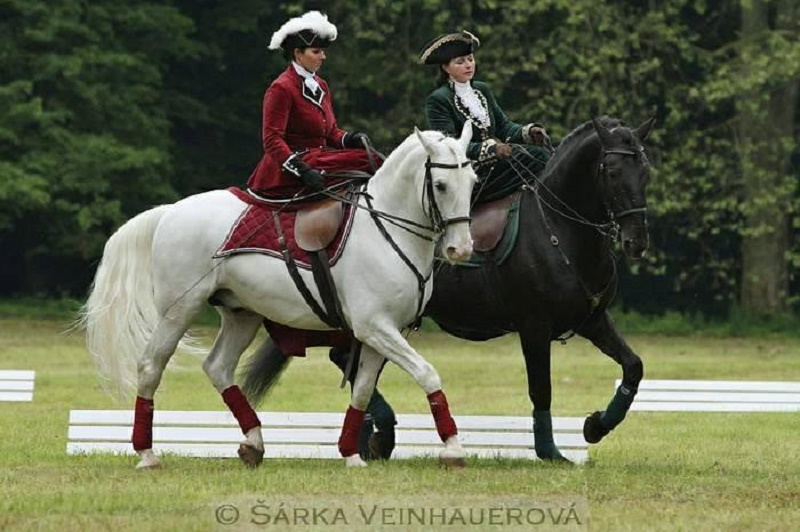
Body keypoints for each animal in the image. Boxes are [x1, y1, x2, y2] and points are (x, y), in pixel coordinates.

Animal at [81, 122, 478, 469]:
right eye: (440, 185)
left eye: (473, 181)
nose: (461, 249)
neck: (387, 228)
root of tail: (170, 211)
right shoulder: (374, 326)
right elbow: (428, 375)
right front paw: (453, 449)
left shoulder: (383, 332)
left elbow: (363, 391)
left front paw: (351, 454)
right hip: (179, 310)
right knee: (151, 367)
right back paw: (147, 454)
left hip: (241, 313)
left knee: (218, 367)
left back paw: (254, 443)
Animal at [241, 116, 655, 461]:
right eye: (612, 171)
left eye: (645, 170)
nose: (636, 241)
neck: (556, 228)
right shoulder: (534, 327)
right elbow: (542, 389)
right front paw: (550, 451)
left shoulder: (592, 319)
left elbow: (633, 366)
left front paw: (596, 425)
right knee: (346, 360)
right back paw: (378, 434)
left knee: (348, 361)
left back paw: (370, 436)